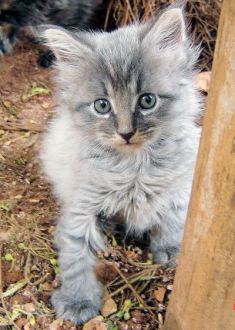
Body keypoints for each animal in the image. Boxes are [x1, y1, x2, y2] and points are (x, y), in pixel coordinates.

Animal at [40, 5, 202, 324]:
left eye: (147, 101)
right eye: (102, 106)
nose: (126, 133)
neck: (135, 168)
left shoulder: (181, 183)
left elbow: (175, 218)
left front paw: (171, 248)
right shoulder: (81, 206)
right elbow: (76, 255)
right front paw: (77, 300)